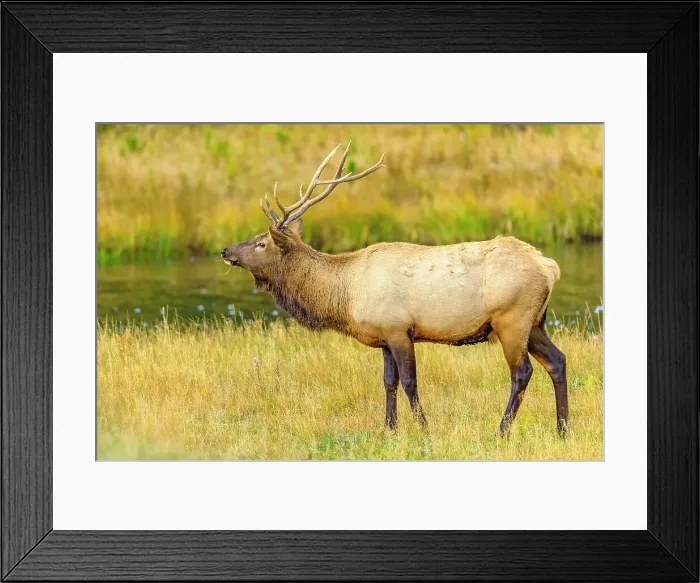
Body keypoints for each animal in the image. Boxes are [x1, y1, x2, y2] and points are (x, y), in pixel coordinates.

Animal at [221, 143, 569, 436]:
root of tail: (550, 266)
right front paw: (389, 429)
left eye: (261, 242)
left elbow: (409, 382)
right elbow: (388, 382)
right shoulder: (383, 335)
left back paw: (502, 430)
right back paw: (563, 428)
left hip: (512, 318)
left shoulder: (400, 328)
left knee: (522, 371)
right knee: (558, 360)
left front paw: (424, 429)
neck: (346, 294)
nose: (225, 250)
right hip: (535, 322)